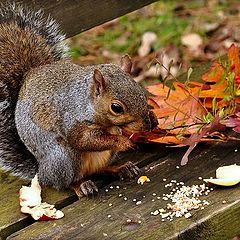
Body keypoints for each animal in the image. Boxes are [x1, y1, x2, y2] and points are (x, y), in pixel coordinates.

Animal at [0, 3, 158, 197]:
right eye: (116, 108)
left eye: (142, 91)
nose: (146, 126)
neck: (87, 101)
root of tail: (42, 172)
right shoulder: (73, 122)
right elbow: (83, 140)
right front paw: (124, 142)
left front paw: (153, 118)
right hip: (64, 158)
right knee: (65, 182)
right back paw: (81, 185)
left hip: (104, 156)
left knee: (99, 170)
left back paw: (119, 168)